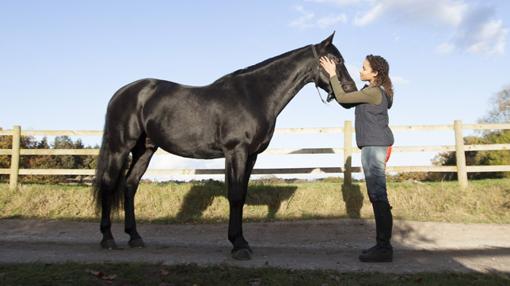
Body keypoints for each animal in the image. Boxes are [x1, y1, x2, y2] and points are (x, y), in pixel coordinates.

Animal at [92, 32, 354, 260]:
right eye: (337, 60)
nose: (350, 90)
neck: (254, 95)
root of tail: (122, 93)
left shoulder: (251, 156)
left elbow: (242, 194)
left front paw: (242, 241)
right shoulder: (236, 152)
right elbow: (235, 195)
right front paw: (239, 246)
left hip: (145, 149)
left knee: (129, 185)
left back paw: (135, 237)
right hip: (120, 147)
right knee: (109, 185)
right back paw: (108, 239)